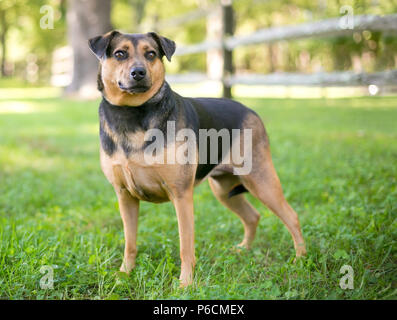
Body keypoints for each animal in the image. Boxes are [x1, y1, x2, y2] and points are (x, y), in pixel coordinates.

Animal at [89, 30, 306, 288]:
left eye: (151, 54)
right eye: (120, 54)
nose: (139, 72)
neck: (131, 113)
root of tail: (249, 109)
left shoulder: (181, 194)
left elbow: (185, 246)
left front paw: (185, 284)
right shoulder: (125, 196)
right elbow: (130, 243)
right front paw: (124, 274)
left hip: (260, 180)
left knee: (291, 216)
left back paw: (301, 260)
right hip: (223, 189)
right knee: (252, 216)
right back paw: (244, 249)